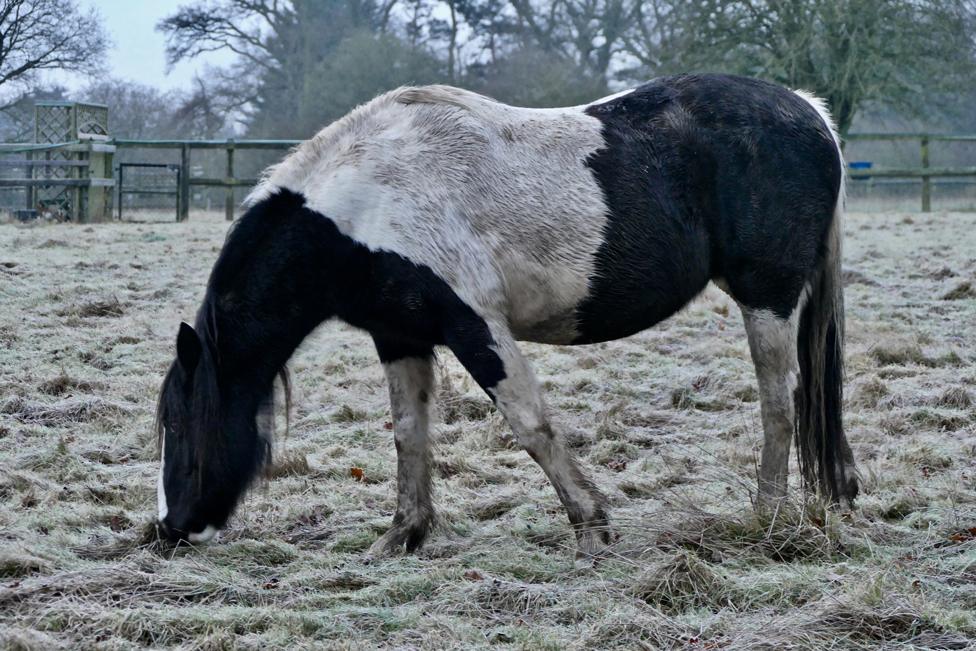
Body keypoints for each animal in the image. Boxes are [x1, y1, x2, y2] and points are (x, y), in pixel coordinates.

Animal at [156, 74, 856, 556]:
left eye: (180, 424)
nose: (168, 528)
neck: (366, 201)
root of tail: (810, 112)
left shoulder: (476, 326)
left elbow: (531, 426)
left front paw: (591, 526)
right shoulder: (400, 336)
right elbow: (409, 434)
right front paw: (403, 536)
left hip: (767, 299)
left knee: (779, 401)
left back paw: (766, 516)